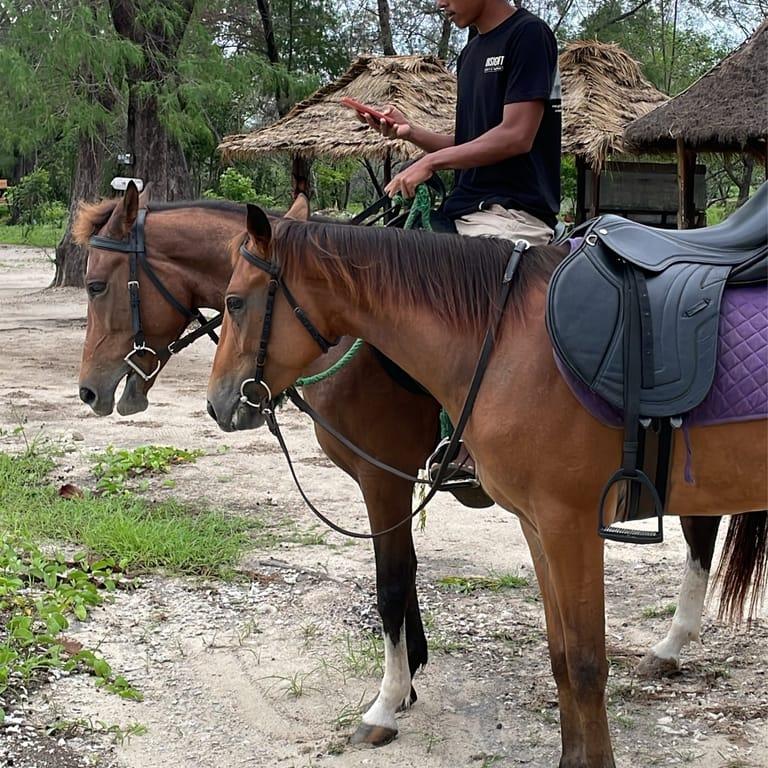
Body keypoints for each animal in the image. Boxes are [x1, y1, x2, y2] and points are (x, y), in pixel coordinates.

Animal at [205, 205, 767, 767]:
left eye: (234, 301)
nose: (218, 403)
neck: (506, 342)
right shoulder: (536, 528)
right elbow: (561, 656)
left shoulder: (563, 526)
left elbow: (585, 663)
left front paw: (388, 702)